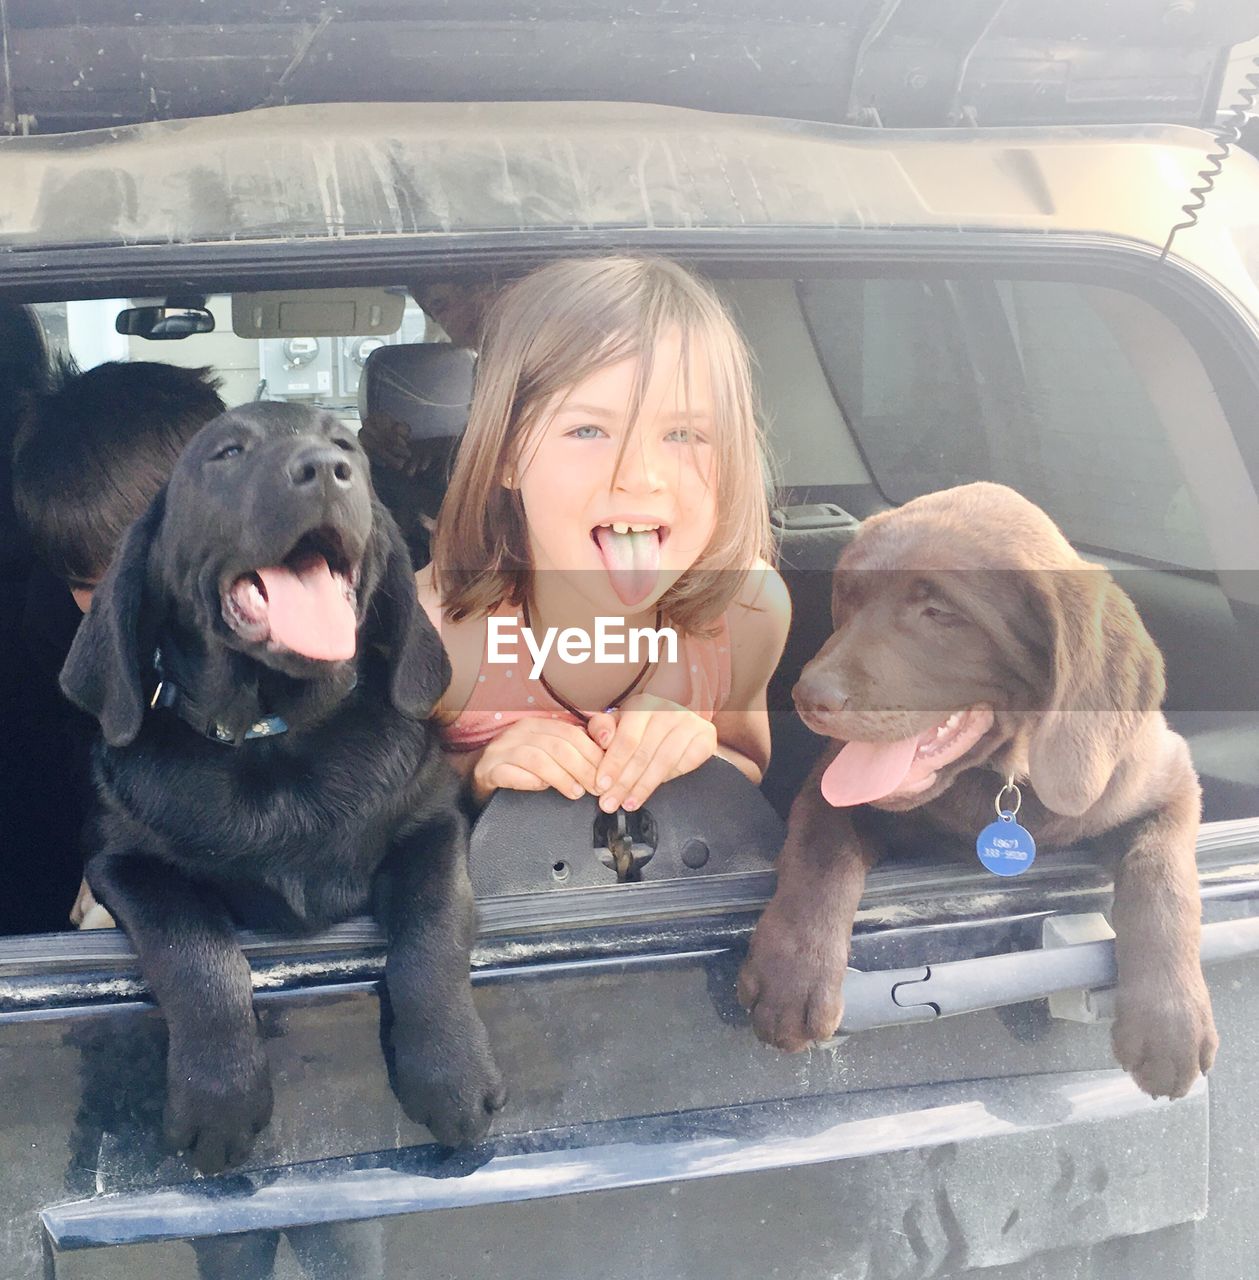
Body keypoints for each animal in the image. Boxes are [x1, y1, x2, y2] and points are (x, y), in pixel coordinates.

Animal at [62, 404, 506, 1172]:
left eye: (345, 444)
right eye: (226, 453)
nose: (326, 470)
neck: (274, 738)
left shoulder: (432, 825)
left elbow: (434, 926)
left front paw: (450, 1072)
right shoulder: (123, 863)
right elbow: (192, 945)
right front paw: (220, 1096)